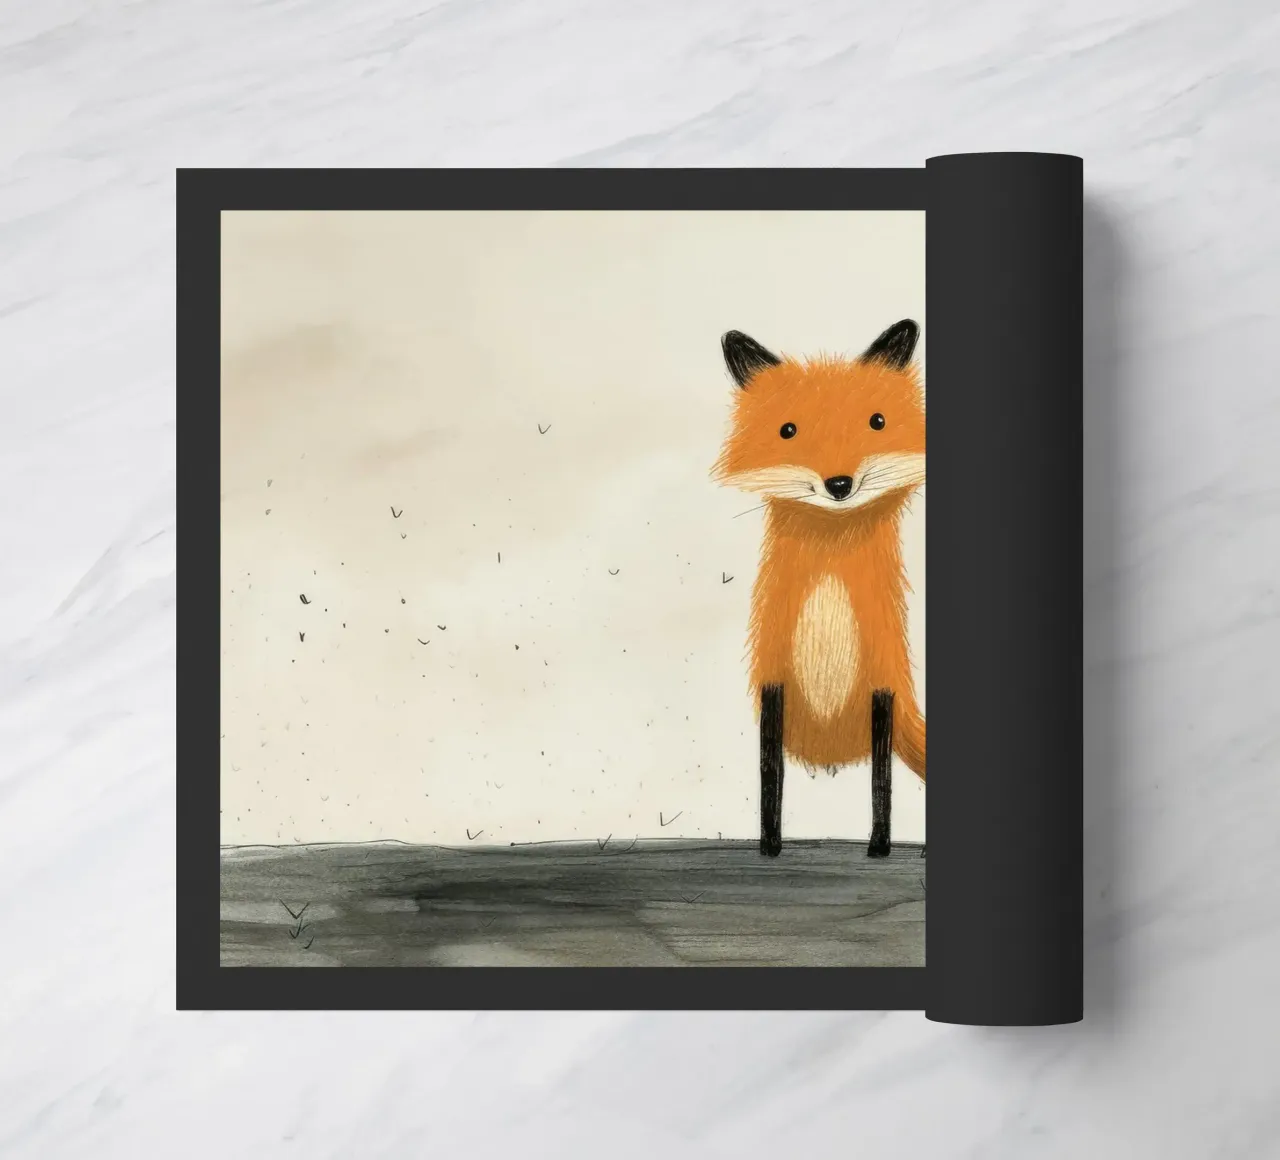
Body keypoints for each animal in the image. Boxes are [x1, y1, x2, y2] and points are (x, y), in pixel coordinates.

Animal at [712, 319, 926, 857]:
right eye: (788, 430)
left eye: (876, 422)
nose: (839, 484)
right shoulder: (774, 679)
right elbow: (769, 779)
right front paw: (769, 847)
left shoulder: (881, 684)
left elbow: (882, 785)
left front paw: (879, 848)